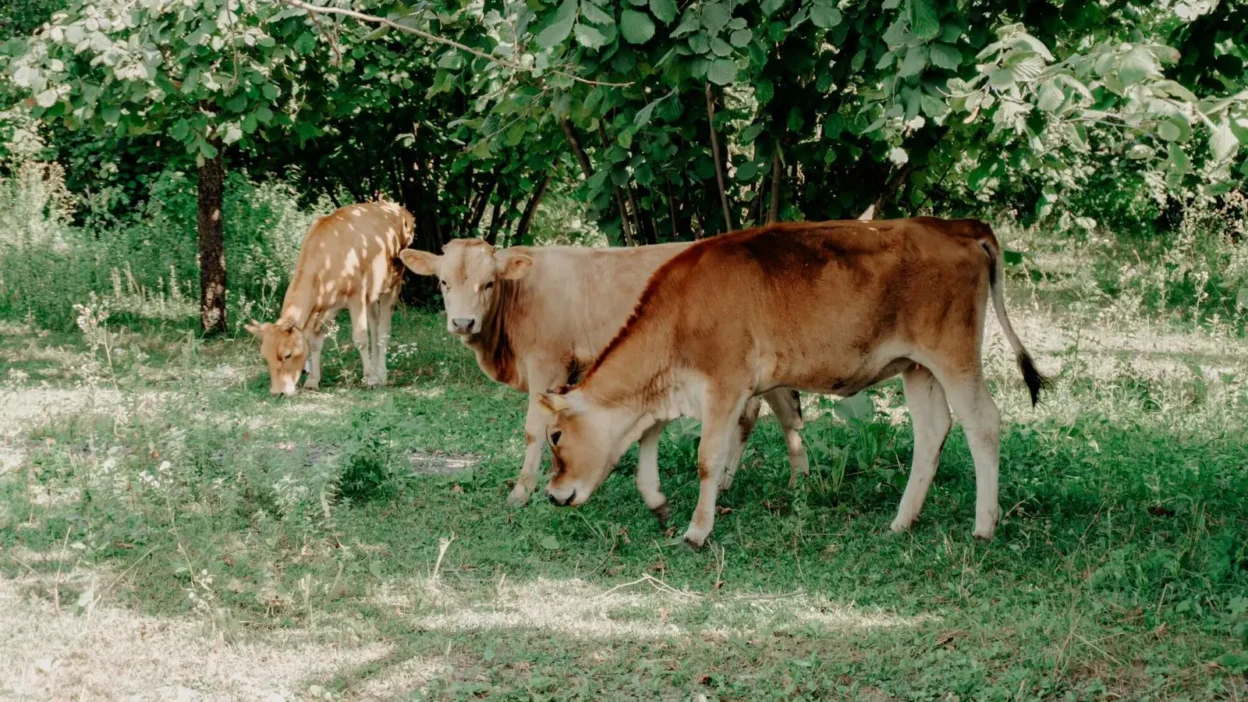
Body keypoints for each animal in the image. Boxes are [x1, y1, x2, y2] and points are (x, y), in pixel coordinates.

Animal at [245, 201, 414, 396]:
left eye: (287, 354)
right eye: (265, 356)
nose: (277, 391)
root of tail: (398, 208)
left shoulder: (356, 295)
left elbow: (360, 338)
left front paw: (371, 379)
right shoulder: (325, 307)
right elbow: (314, 341)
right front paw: (312, 380)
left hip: (393, 283)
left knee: (383, 331)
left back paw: (381, 374)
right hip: (372, 292)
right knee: (375, 325)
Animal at [397, 238, 808, 514]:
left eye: (488, 283)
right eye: (444, 282)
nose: (463, 322)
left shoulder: (546, 364)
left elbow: (534, 429)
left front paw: (521, 492)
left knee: (773, 413)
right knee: (769, 414)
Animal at [538, 217, 1049, 547]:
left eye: (556, 436)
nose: (553, 496)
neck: (680, 313)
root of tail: (957, 225)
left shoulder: (723, 386)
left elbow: (707, 458)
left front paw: (697, 531)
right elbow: (650, 439)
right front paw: (658, 501)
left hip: (954, 358)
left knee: (982, 423)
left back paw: (983, 526)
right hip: (917, 367)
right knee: (932, 430)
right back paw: (902, 522)